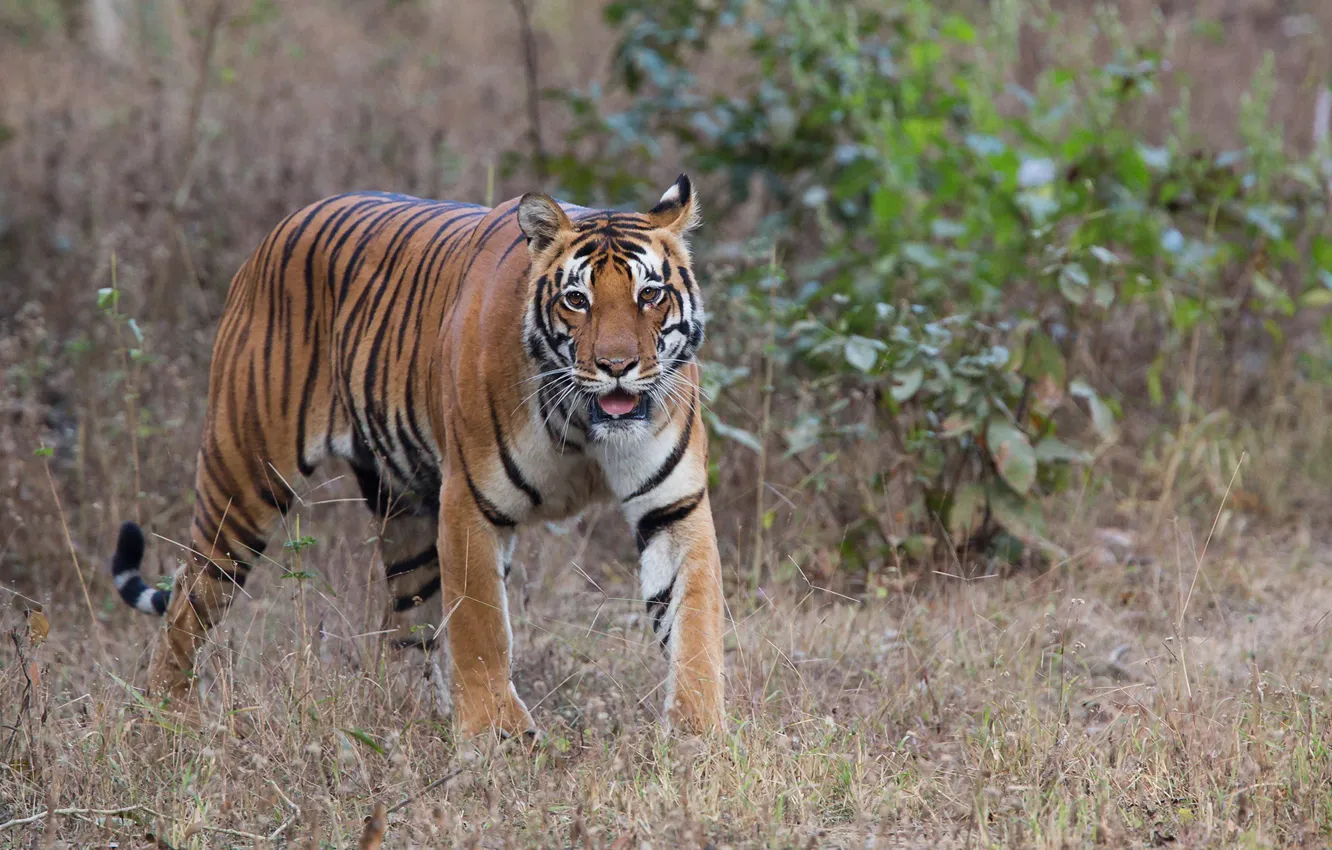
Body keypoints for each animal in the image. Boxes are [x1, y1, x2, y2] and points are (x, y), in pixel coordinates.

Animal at [108, 175, 725, 737]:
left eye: (650, 295)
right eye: (577, 299)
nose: (617, 366)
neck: (583, 426)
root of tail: (275, 232)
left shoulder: (673, 508)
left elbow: (694, 620)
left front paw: (698, 736)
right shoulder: (470, 503)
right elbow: (481, 630)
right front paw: (499, 740)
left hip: (404, 512)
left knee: (406, 628)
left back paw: (414, 721)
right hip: (242, 480)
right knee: (189, 599)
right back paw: (168, 720)